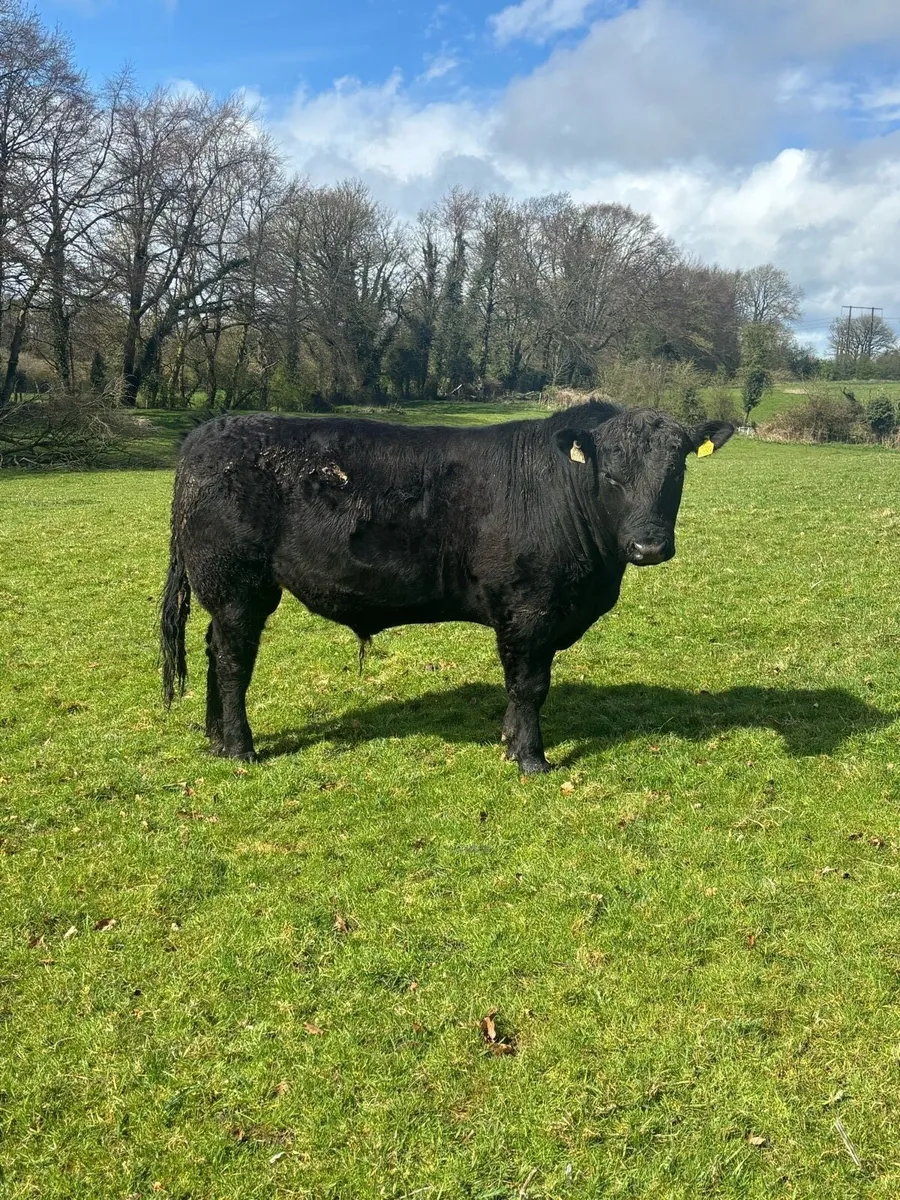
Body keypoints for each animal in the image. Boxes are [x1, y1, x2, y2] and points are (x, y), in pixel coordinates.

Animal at [161, 402, 733, 773]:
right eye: (612, 476)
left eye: (677, 470)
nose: (648, 546)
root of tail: (206, 435)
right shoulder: (528, 608)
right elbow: (530, 685)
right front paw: (531, 759)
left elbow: (520, 688)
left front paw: (509, 740)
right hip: (239, 587)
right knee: (233, 660)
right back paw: (240, 748)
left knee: (214, 650)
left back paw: (215, 737)